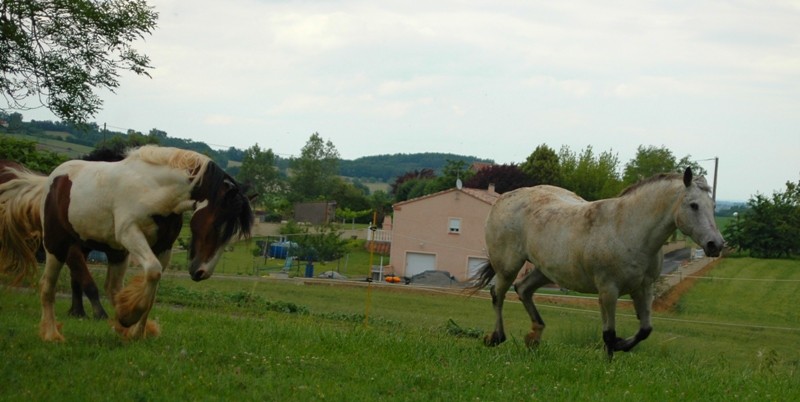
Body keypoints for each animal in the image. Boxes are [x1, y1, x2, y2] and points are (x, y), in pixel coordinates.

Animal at [0, 146, 253, 340]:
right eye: (218, 225)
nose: (202, 272)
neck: (154, 189)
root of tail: (49, 182)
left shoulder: (163, 248)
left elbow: (152, 289)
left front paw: (136, 332)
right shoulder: (130, 233)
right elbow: (153, 272)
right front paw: (129, 318)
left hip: (115, 253)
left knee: (112, 288)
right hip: (58, 246)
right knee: (47, 287)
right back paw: (52, 334)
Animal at [468, 168, 724, 360]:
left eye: (713, 206)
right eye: (693, 205)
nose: (716, 244)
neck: (627, 229)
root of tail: (503, 198)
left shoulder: (644, 287)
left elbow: (645, 330)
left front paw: (621, 345)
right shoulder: (608, 290)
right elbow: (608, 333)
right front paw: (609, 362)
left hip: (545, 270)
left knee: (523, 289)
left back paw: (534, 338)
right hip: (508, 265)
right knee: (498, 294)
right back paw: (496, 338)